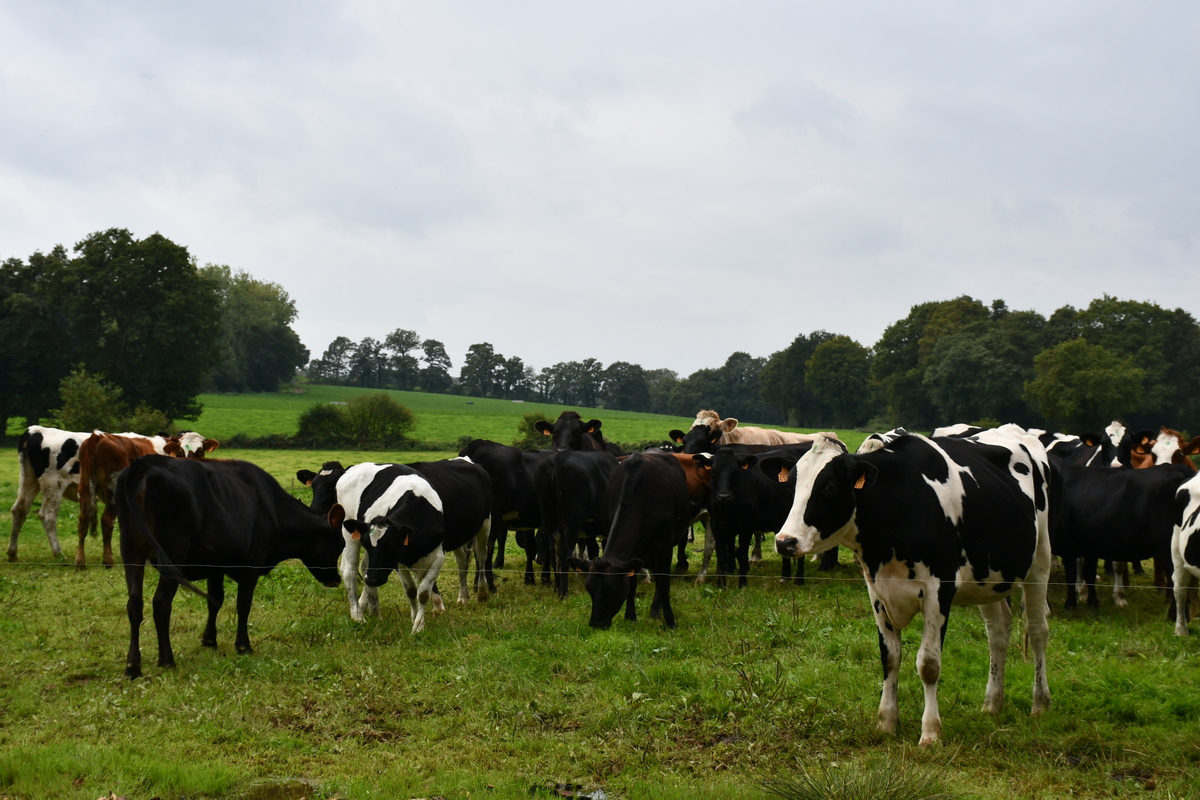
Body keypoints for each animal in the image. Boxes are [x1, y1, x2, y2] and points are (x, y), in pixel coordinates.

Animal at [115, 460, 348, 681]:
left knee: (134, 603)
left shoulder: (215, 565)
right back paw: (166, 660)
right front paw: (243, 646)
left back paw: (133, 666)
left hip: (131, 551)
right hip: (172, 554)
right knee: (161, 603)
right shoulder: (251, 567)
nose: (336, 580)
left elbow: (215, 600)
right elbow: (243, 605)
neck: (272, 508)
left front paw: (209, 640)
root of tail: (144, 462)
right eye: (339, 544)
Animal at [566, 453, 691, 628]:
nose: (595, 624)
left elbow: (664, 583)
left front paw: (670, 621)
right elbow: (631, 584)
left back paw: (655, 610)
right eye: (589, 589)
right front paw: (630, 616)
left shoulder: (665, 546)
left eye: (611, 590)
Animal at [772, 429, 1056, 748]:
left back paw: (1040, 703)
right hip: (989, 576)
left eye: (830, 486)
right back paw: (992, 703)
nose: (785, 541)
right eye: (792, 486)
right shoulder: (877, 591)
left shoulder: (939, 590)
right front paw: (886, 722)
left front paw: (930, 732)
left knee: (1037, 630)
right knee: (998, 632)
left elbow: (928, 664)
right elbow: (890, 656)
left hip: (1040, 560)